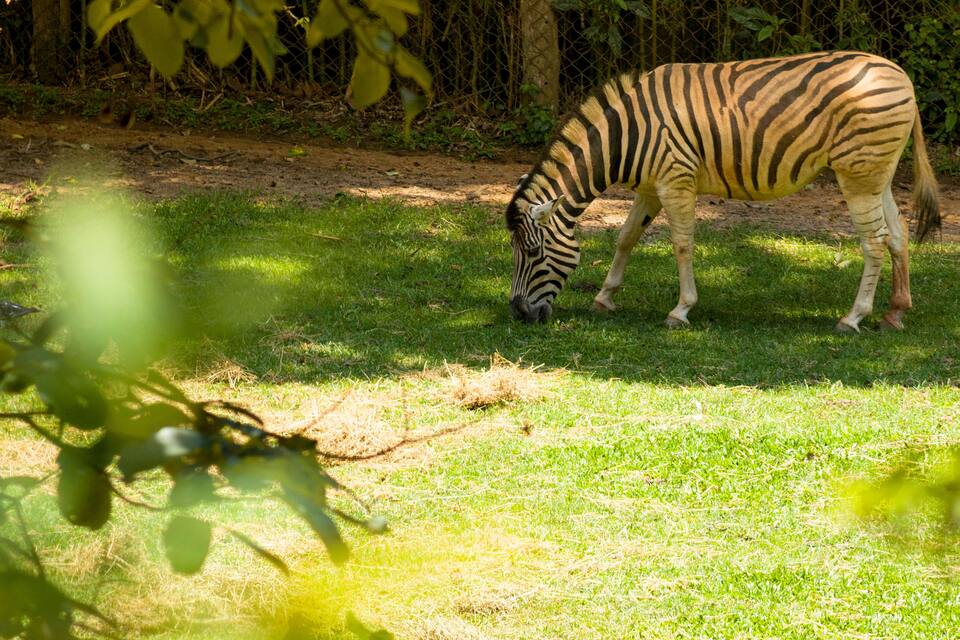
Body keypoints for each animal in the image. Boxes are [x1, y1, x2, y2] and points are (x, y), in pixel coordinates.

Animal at [506, 51, 940, 332]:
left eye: (532, 252)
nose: (517, 313)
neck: (626, 136)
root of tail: (901, 76)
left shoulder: (675, 179)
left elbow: (682, 244)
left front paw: (681, 311)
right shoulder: (650, 188)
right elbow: (625, 237)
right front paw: (604, 297)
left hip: (857, 175)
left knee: (875, 241)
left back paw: (853, 318)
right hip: (877, 174)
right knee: (897, 233)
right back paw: (895, 313)